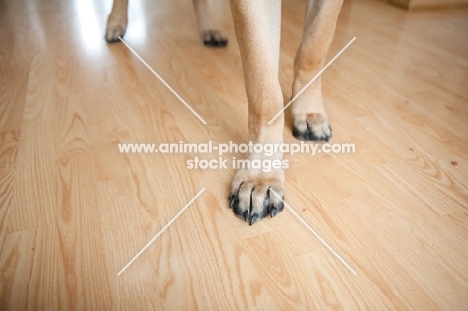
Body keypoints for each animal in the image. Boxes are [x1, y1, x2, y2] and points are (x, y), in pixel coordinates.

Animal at [106, 0, 344, 224]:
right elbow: (265, 89)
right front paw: (261, 175)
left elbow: (314, 48)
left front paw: (309, 112)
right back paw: (115, 23)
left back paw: (209, 29)